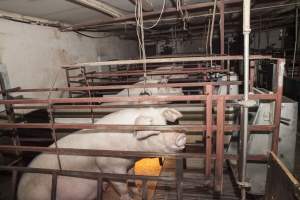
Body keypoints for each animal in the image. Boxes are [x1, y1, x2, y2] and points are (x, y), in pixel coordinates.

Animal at [17, 108, 185, 200]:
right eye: (154, 132)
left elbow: (132, 180)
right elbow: (122, 187)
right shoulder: (110, 167)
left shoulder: (129, 165)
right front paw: (128, 198)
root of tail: (19, 192)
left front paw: (137, 193)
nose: (181, 136)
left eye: (165, 123)